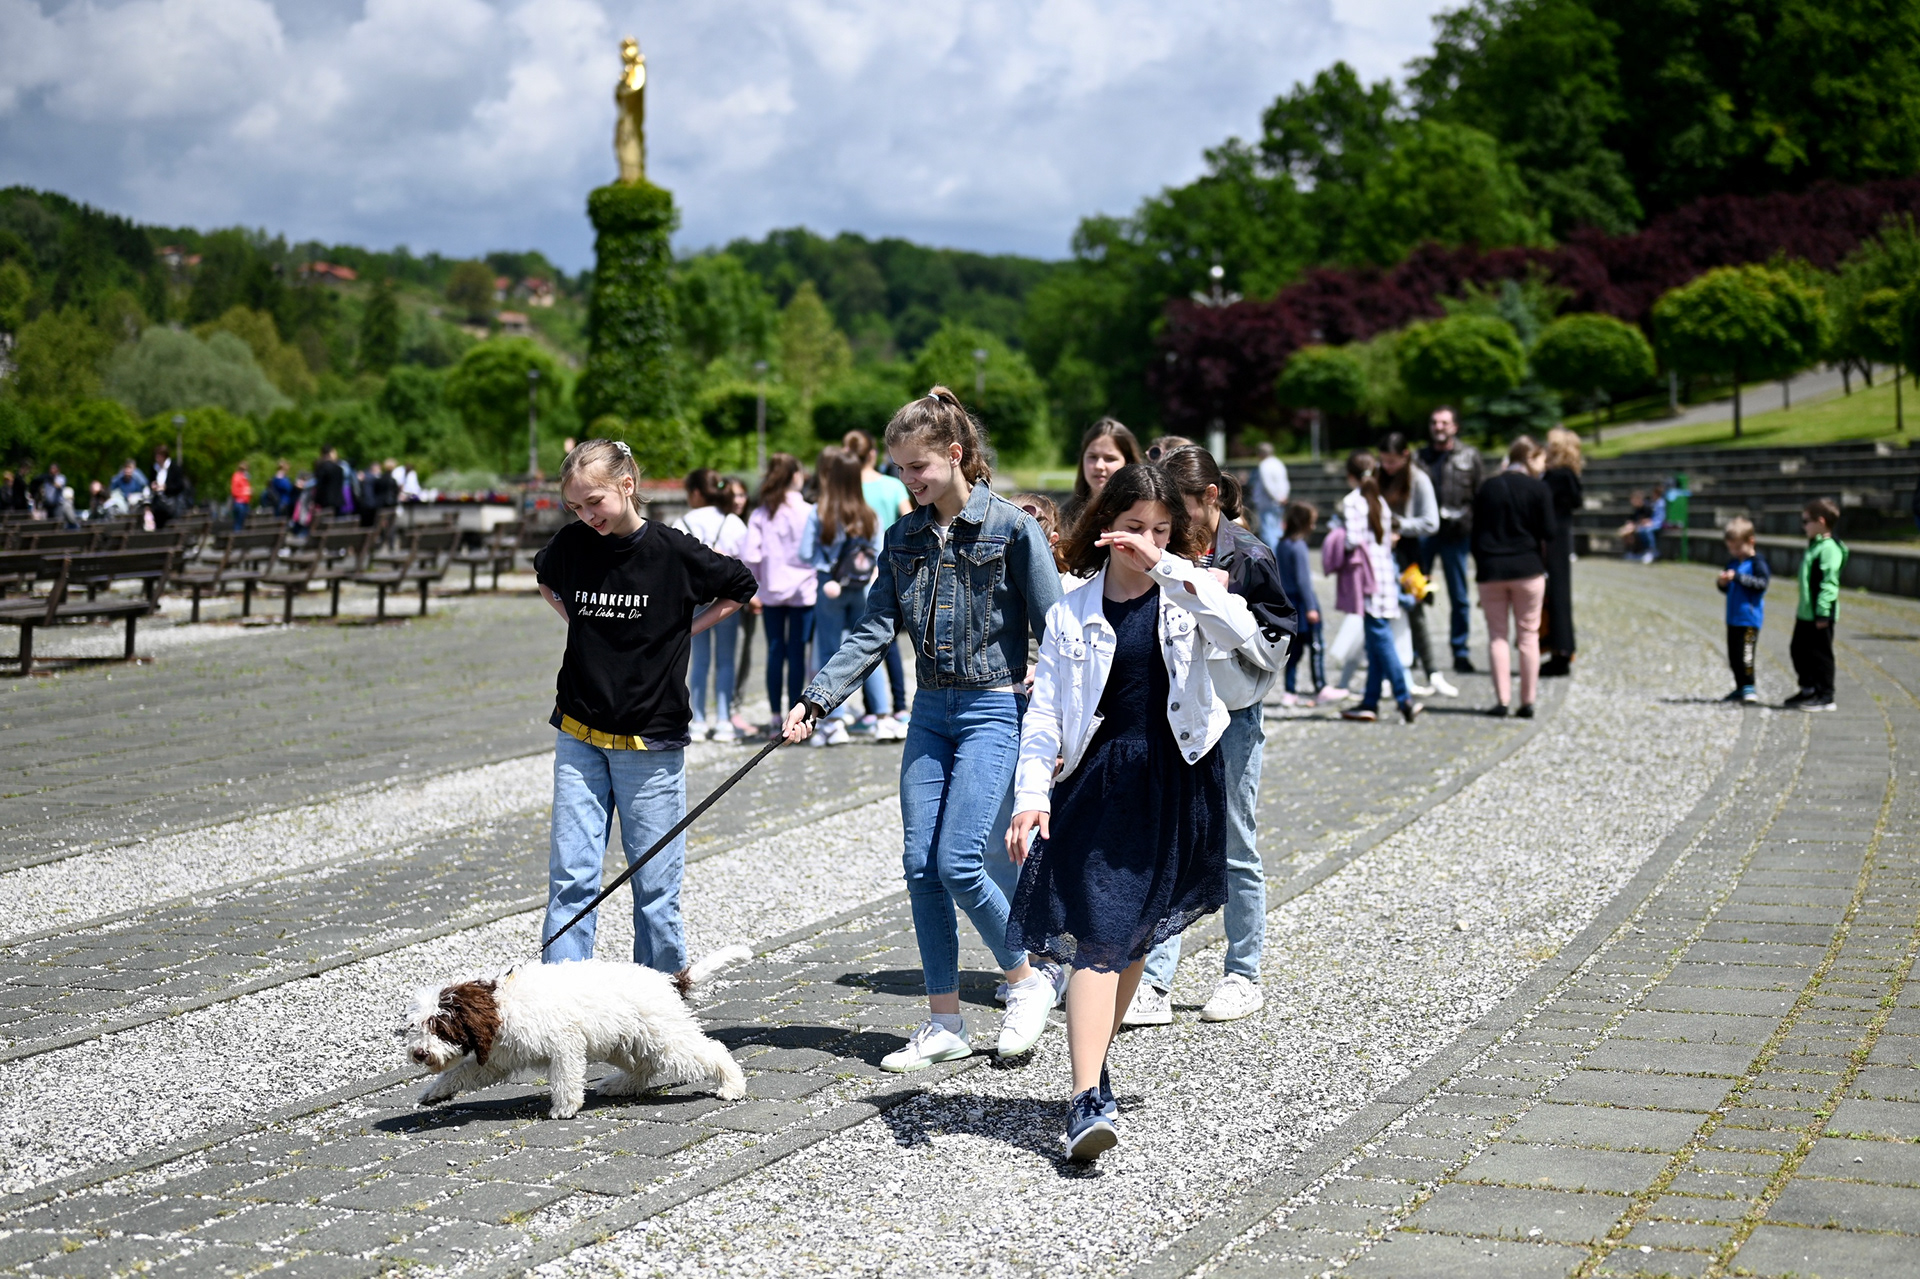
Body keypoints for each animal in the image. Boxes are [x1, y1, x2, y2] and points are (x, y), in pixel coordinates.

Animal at [401, 946, 751, 1119]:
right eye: (416, 1026)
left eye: (440, 1027)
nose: (419, 1054)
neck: (501, 1005)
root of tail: (667, 980)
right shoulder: (498, 1057)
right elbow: (459, 1073)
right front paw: (435, 1093)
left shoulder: (564, 1044)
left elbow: (564, 1077)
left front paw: (564, 1108)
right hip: (623, 1041)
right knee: (644, 1065)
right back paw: (619, 1085)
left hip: (664, 1037)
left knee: (712, 1051)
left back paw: (731, 1085)